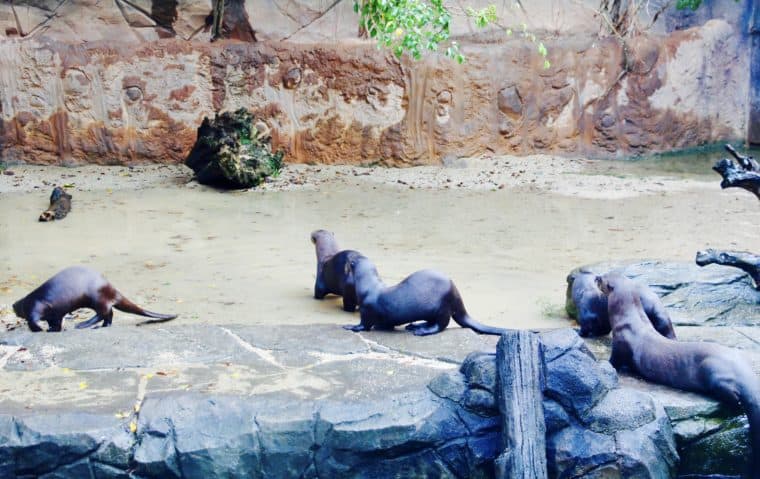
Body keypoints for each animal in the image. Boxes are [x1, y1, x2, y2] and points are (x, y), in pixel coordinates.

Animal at [11, 264, 178, 332]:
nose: (14, 307)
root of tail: (111, 288)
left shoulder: (36, 306)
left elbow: (34, 319)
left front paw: (40, 329)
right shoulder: (56, 312)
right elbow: (56, 322)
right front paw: (52, 329)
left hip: (97, 297)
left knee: (103, 313)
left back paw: (83, 324)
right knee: (109, 313)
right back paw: (102, 326)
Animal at [342, 255, 508, 338]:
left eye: (352, 261)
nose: (347, 258)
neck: (367, 287)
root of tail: (456, 293)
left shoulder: (366, 309)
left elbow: (364, 325)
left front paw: (350, 326)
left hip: (443, 307)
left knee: (441, 325)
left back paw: (422, 331)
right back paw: (415, 325)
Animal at [600, 272, 760, 478]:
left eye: (602, 279)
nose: (596, 277)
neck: (628, 320)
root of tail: (744, 373)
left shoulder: (620, 344)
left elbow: (614, 361)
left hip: (714, 372)